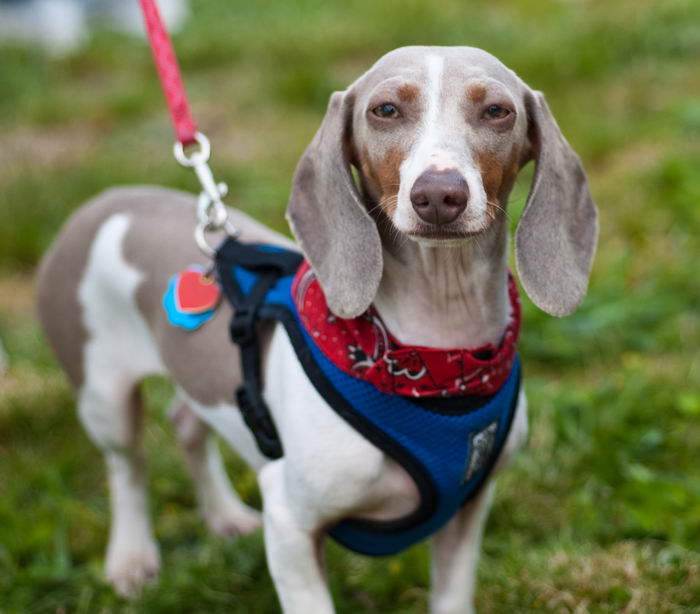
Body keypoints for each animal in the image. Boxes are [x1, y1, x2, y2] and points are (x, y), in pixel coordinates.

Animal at [37, 45, 596, 612]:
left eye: (497, 111)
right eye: (385, 110)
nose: (439, 194)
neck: (436, 356)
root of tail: (104, 201)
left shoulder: (467, 512)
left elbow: (451, 597)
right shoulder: (290, 521)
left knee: (186, 422)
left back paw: (225, 517)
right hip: (103, 397)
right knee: (126, 468)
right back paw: (131, 560)